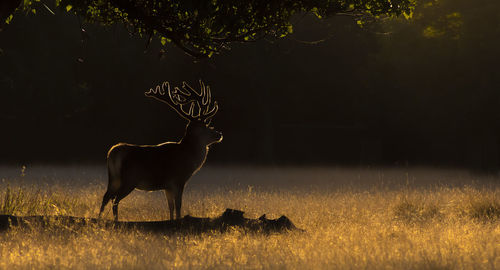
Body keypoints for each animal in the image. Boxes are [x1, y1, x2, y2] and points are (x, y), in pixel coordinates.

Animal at [98, 79, 223, 221]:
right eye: (205, 127)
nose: (219, 134)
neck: (188, 156)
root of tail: (114, 153)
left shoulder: (167, 186)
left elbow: (171, 207)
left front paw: (171, 220)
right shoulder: (178, 180)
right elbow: (178, 205)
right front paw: (178, 220)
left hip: (113, 178)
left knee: (106, 197)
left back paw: (99, 219)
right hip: (130, 179)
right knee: (115, 199)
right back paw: (116, 220)